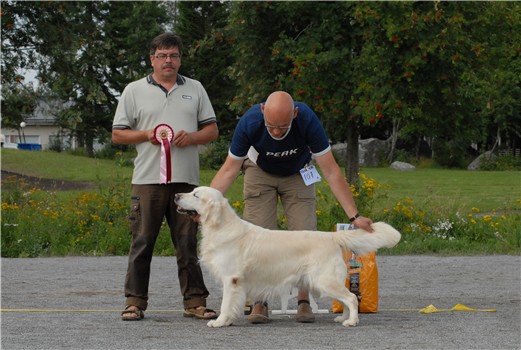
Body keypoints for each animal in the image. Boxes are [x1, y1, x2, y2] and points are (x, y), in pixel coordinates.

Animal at [173, 187, 400, 326]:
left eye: (195, 195)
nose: (176, 195)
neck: (221, 226)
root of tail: (331, 236)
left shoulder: (232, 279)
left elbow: (225, 303)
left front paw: (220, 321)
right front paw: (227, 321)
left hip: (324, 280)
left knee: (351, 298)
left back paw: (351, 321)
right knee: (345, 299)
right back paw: (342, 318)